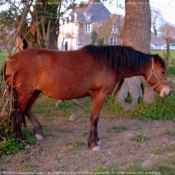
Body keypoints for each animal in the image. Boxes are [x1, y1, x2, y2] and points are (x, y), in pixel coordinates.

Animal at [4, 45, 170, 151]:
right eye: (162, 71)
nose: (167, 92)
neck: (108, 63)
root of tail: (11, 60)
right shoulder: (99, 95)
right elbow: (94, 119)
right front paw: (93, 144)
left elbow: (95, 119)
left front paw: (96, 140)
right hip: (24, 93)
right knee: (17, 115)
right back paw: (22, 142)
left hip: (34, 92)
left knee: (27, 110)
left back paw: (38, 132)